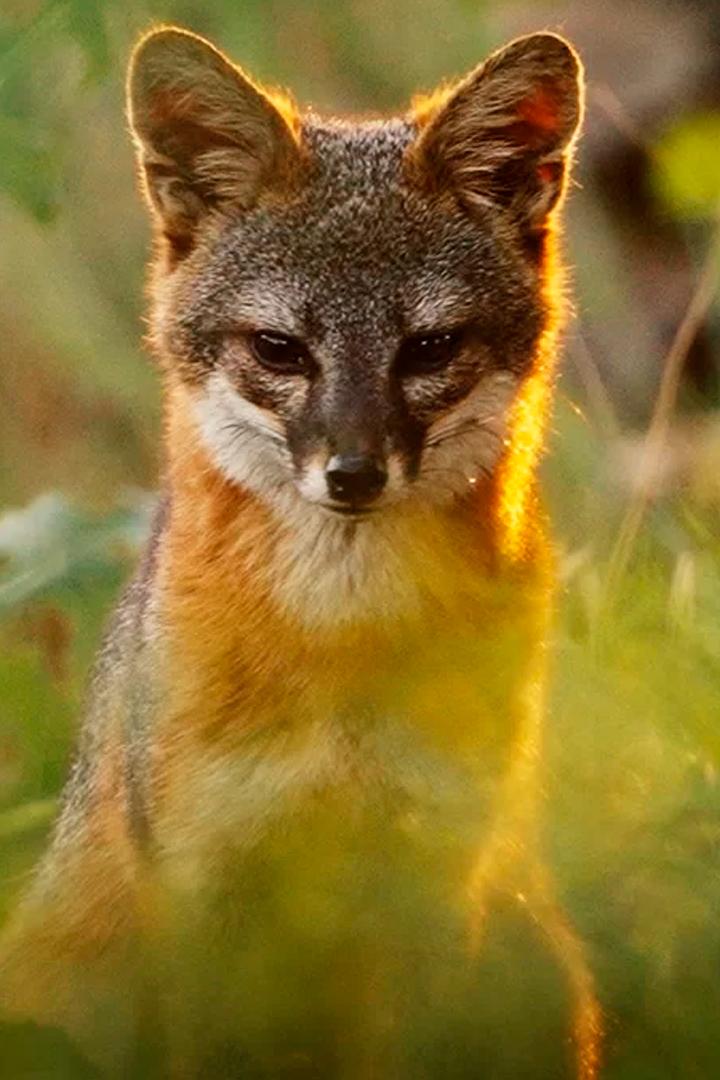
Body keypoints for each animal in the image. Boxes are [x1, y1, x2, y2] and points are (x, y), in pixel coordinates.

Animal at [0, 25, 600, 1080]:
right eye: (280, 349)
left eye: (430, 346)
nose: (353, 473)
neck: (341, 645)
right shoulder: (205, 890)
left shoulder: (434, 880)